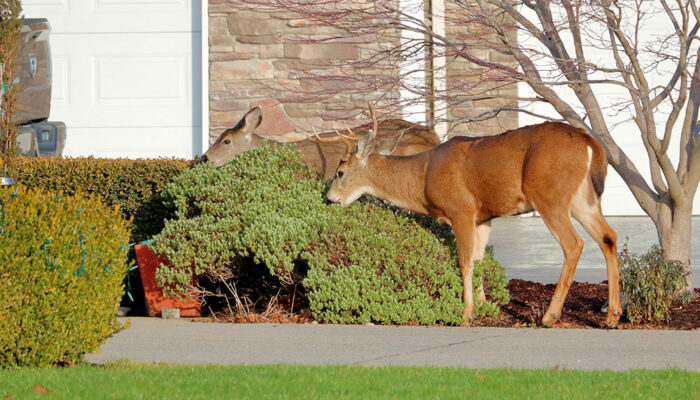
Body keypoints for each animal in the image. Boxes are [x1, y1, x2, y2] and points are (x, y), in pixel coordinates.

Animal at [326, 116, 622, 328]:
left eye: (340, 172)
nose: (329, 198)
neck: (422, 178)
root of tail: (589, 143)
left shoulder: (462, 210)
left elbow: (465, 262)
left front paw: (466, 313)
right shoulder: (483, 218)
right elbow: (479, 260)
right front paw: (482, 307)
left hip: (550, 195)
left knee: (574, 244)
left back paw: (551, 317)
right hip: (584, 198)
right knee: (609, 236)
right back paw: (612, 316)